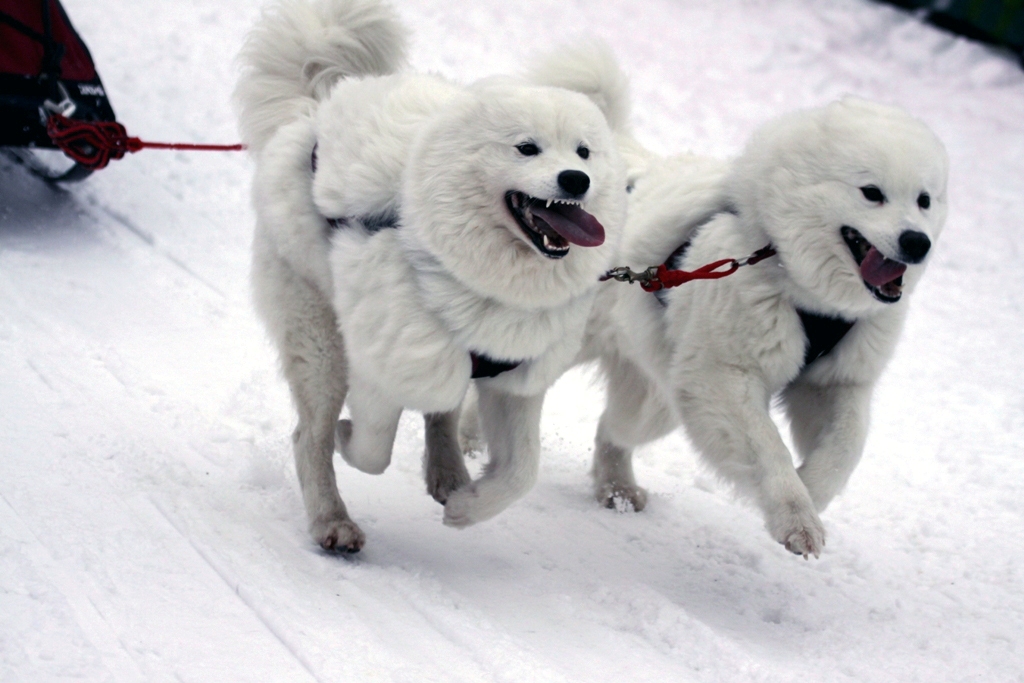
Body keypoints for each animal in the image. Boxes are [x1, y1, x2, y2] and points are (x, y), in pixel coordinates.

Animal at [236, 0, 626, 548]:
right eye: (526, 147)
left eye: (584, 151)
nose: (576, 180)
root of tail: (314, 111)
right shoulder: (382, 361)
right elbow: (372, 450)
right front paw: (346, 438)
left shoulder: (516, 377)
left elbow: (521, 473)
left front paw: (468, 508)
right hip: (321, 342)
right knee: (307, 436)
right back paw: (332, 520)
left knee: (441, 411)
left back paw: (448, 475)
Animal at [585, 97, 950, 557]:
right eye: (872, 193)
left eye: (924, 200)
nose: (917, 243)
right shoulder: (723, 377)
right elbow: (768, 447)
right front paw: (796, 517)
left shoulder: (838, 383)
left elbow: (845, 450)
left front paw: (811, 490)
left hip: (659, 399)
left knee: (611, 428)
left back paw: (616, 489)